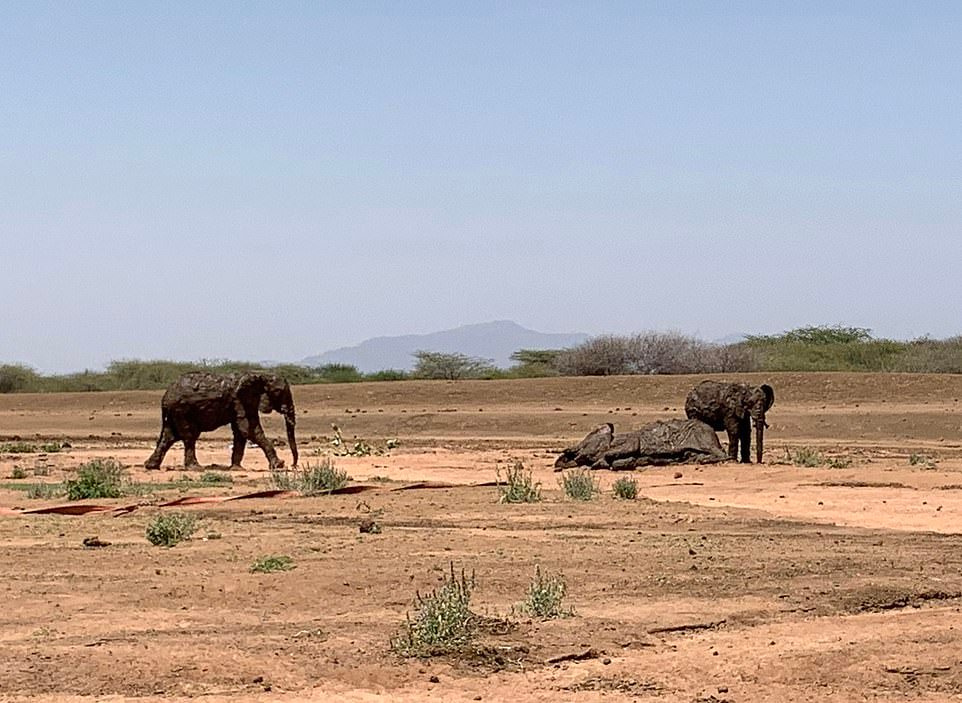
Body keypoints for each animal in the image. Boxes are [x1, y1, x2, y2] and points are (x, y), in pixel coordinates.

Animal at [142, 372, 296, 470]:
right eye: (279, 391)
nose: (292, 465)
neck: (260, 375)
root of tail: (165, 397)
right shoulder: (240, 400)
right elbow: (249, 430)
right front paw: (278, 466)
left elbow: (241, 433)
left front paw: (237, 469)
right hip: (181, 410)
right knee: (189, 436)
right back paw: (196, 468)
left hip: (174, 412)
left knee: (169, 437)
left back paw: (151, 466)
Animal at [556, 418, 728, 472]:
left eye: (588, 439)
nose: (559, 462)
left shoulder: (631, 440)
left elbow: (629, 447)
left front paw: (601, 461)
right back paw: (691, 459)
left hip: (702, 436)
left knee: (722, 455)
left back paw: (703, 460)